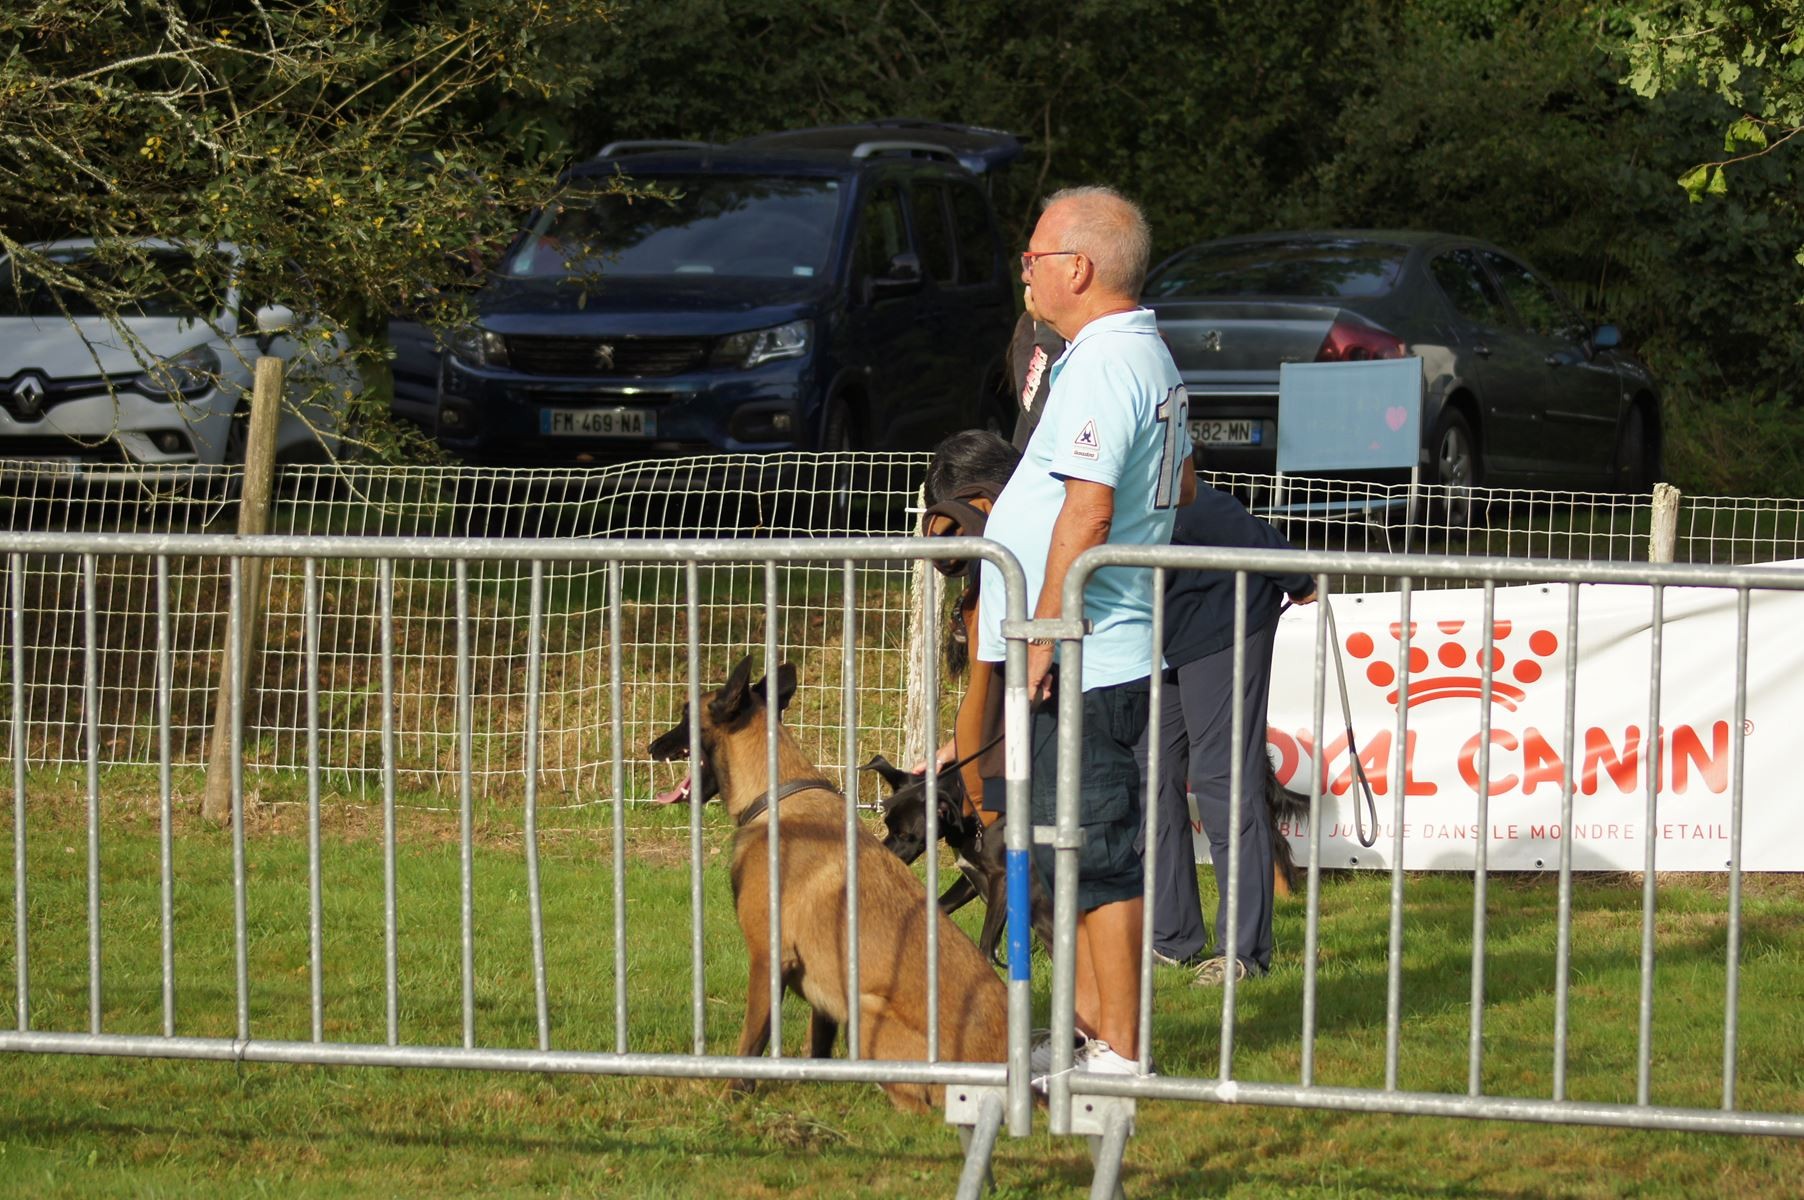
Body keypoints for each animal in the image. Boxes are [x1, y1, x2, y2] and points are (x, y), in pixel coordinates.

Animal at [649, 656, 1010, 1111]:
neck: (778, 795)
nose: (650, 748)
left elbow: (752, 1040)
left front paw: (733, 1094)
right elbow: (817, 1043)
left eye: (685, 715)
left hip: (866, 1008)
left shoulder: (767, 957)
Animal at [858, 754, 1053, 967]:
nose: (880, 858)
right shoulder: (971, 877)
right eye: (887, 824)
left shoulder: (1002, 879)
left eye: (904, 834)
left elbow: (986, 946)